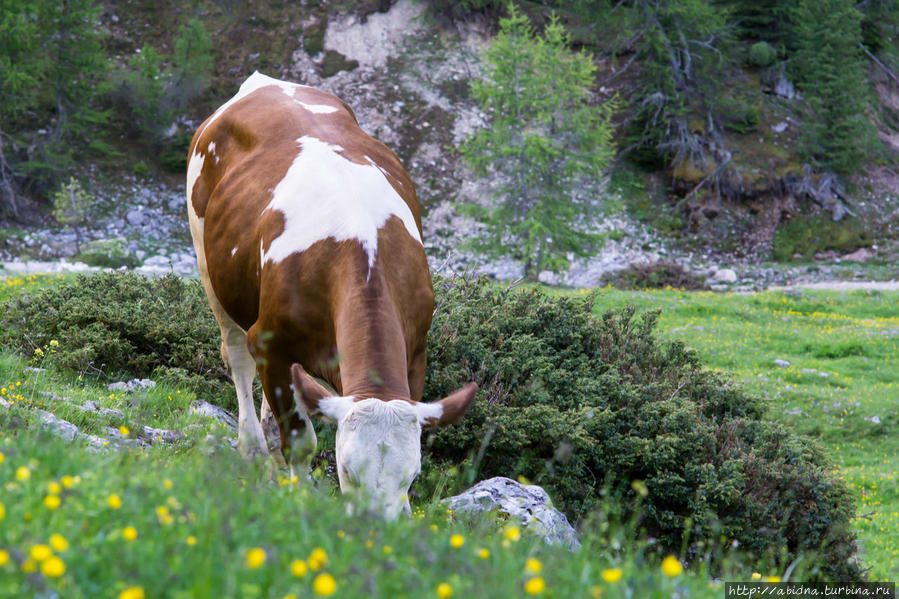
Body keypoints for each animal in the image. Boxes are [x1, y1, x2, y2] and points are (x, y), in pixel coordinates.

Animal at [185, 72, 478, 516]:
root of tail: (263, 82)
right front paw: (298, 497)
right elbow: (300, 440)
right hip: (207, 259)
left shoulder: (416, 353)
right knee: (236, 356)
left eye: (412, 476)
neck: (361, 249)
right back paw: (253, 450)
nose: (377, 527)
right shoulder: (270, 343)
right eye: (346, 470)